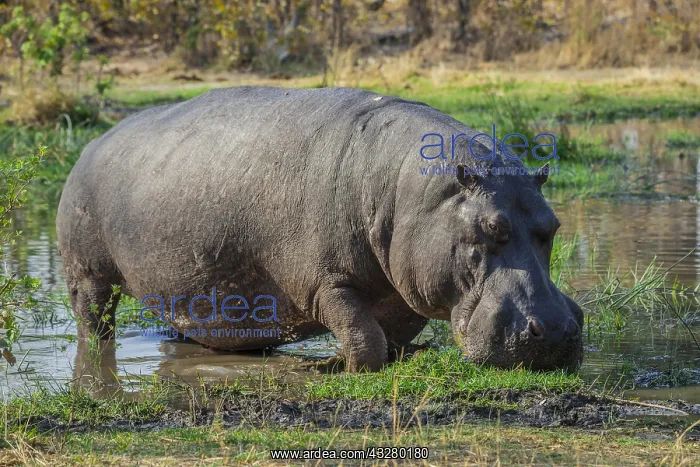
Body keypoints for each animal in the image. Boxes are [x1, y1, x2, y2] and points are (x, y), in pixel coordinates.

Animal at [56, 86, 583, 372]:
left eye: (552, 226)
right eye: (488, 228)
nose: (556, 330)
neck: (408, 192)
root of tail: (93, 145)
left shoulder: (401, 288)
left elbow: (390, 338)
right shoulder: (324, 282)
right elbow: (362, 335)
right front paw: (346, 369)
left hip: (182, 287)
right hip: (89, 274)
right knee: (93, 322)